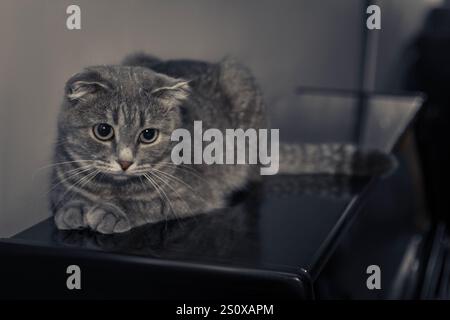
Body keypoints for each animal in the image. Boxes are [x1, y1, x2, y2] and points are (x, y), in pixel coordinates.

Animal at [50, 53, 394, 234]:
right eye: (103, 131)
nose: (124, 161)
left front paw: (110, 211)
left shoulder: (192, 195)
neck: (113, 186)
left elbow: (146, 203)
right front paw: (74, 209)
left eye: (148, 135)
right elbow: (67, 197)